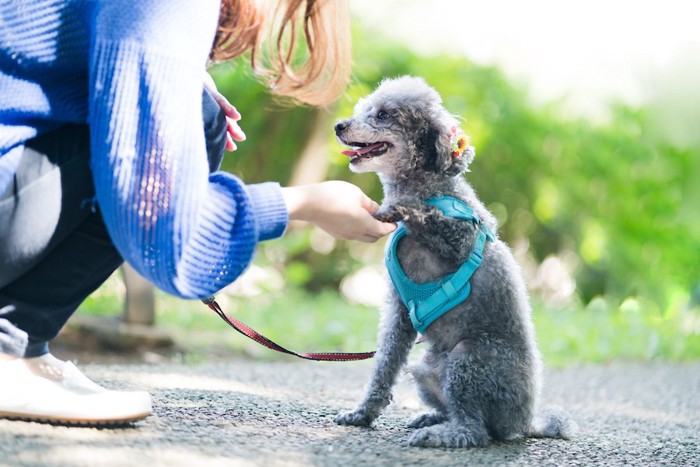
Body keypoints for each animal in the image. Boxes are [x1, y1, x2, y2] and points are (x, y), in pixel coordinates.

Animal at [334, 77, 576, 450]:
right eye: (364, 109)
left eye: (384, 114)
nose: (339, 126)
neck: (433, 186)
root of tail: (525, 421)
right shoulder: (399, 313)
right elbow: (384, 366)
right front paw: (361, 415)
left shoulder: (461, 239)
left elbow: (427, 215)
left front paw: (398, 207)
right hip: (425, 367)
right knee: (464, 416)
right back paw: (432, 418)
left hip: (467, 361)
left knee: (475, 431)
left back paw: (439, 434)